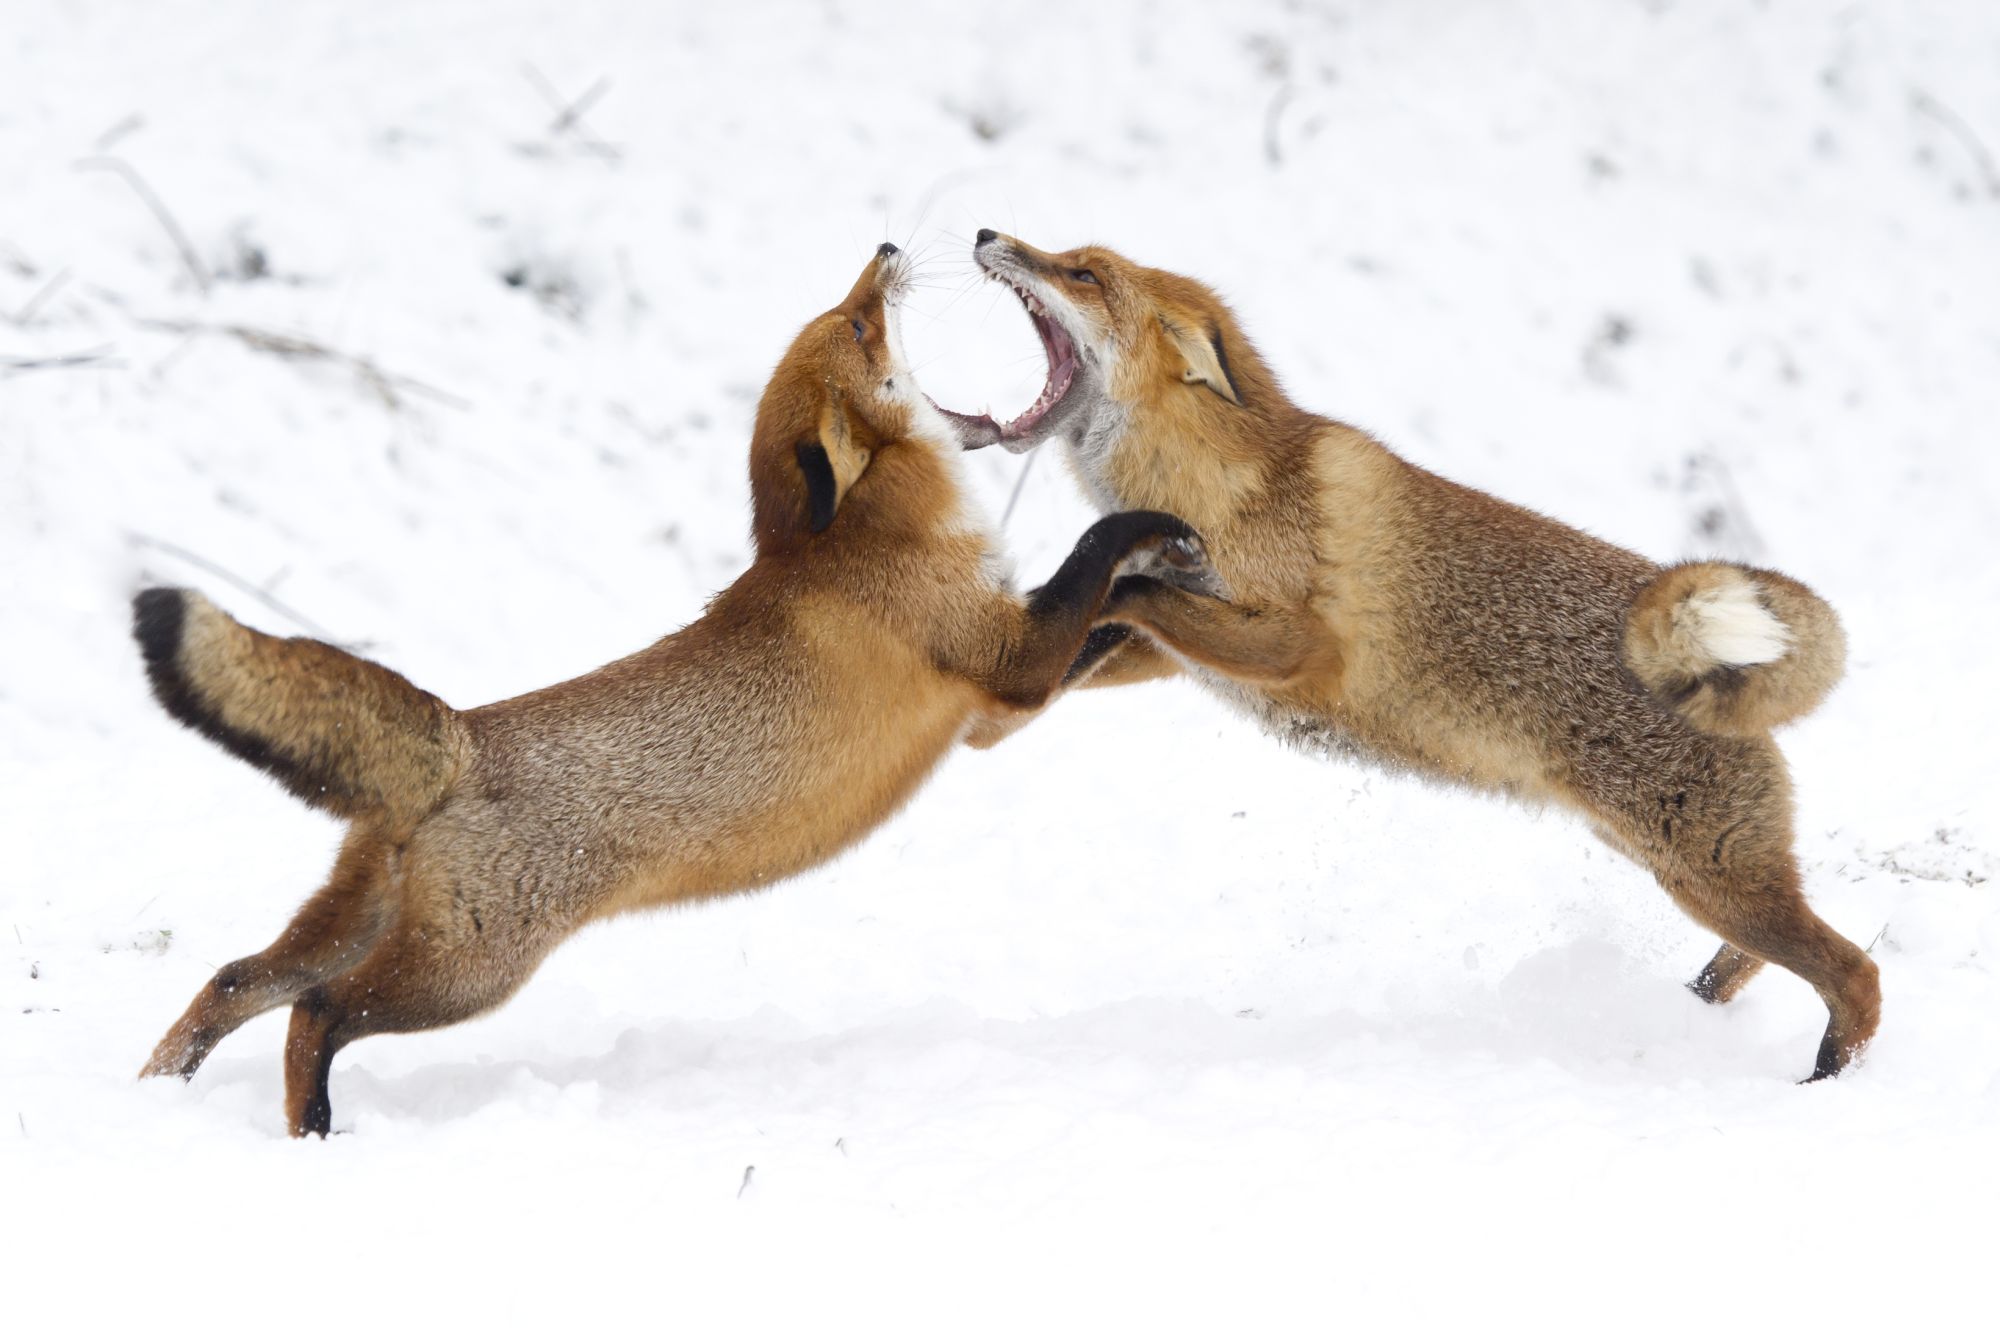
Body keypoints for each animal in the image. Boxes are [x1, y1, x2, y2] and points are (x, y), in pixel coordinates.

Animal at [133, 244, 1210, 1136]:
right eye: (860, 326)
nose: (886, 248)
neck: (860, 542)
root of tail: (460, 735)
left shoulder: (992, 714)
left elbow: (1114, 620)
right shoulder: (1006, 662)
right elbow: (1097, 560)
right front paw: (1163, 539)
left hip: (355, 927)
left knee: (235, 981)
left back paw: (156, 1092)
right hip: (464, 974)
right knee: (315, 1014)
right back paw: (311, 1127)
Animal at [937, 229, 1874, 1081]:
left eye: (1083, 275)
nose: (987, 232)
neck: (1215, 483)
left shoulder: (1295, 647)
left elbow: (1130, 590)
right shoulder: (1186, 655)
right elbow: (1103, 624)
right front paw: (1004, 685)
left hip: (1707, 877)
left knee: (1856, 975)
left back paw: (1828, 1079)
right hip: (1668, 866)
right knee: (1761, 962)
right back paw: (1694, 1016)